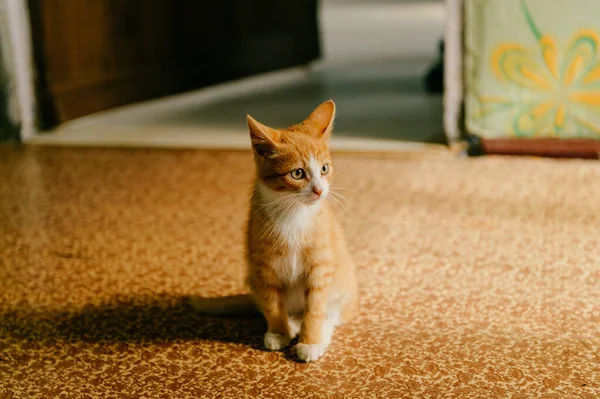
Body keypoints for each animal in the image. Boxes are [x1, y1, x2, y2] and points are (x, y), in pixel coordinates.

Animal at [245, 100, 356, 362]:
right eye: (298, 173)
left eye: (324, 169)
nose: (319, 190)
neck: (294, 213)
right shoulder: (263, 266)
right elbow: (272, 303)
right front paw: (279, 332)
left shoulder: (320, 264)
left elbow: (315, 306)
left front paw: (311, 341)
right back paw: (292, 324)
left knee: (332, 314)